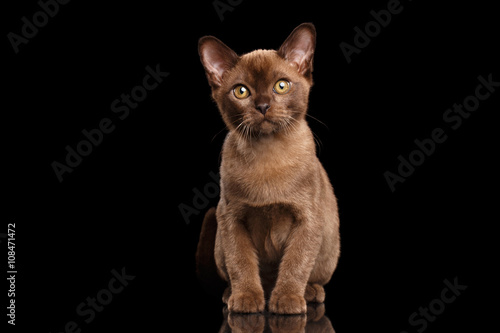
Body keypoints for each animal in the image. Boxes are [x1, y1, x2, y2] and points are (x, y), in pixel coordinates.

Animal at [195, 23, 340, 314]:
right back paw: (232, 295)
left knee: (307, 277)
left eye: (281, 86)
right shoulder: (231, 218)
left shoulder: (308, 219)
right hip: (218, 238)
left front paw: (286, 301)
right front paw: (246, 299)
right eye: (241, 91)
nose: (262, 106)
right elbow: (241, 263)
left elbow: (296, 263)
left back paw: (308, 293)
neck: (268, 154)